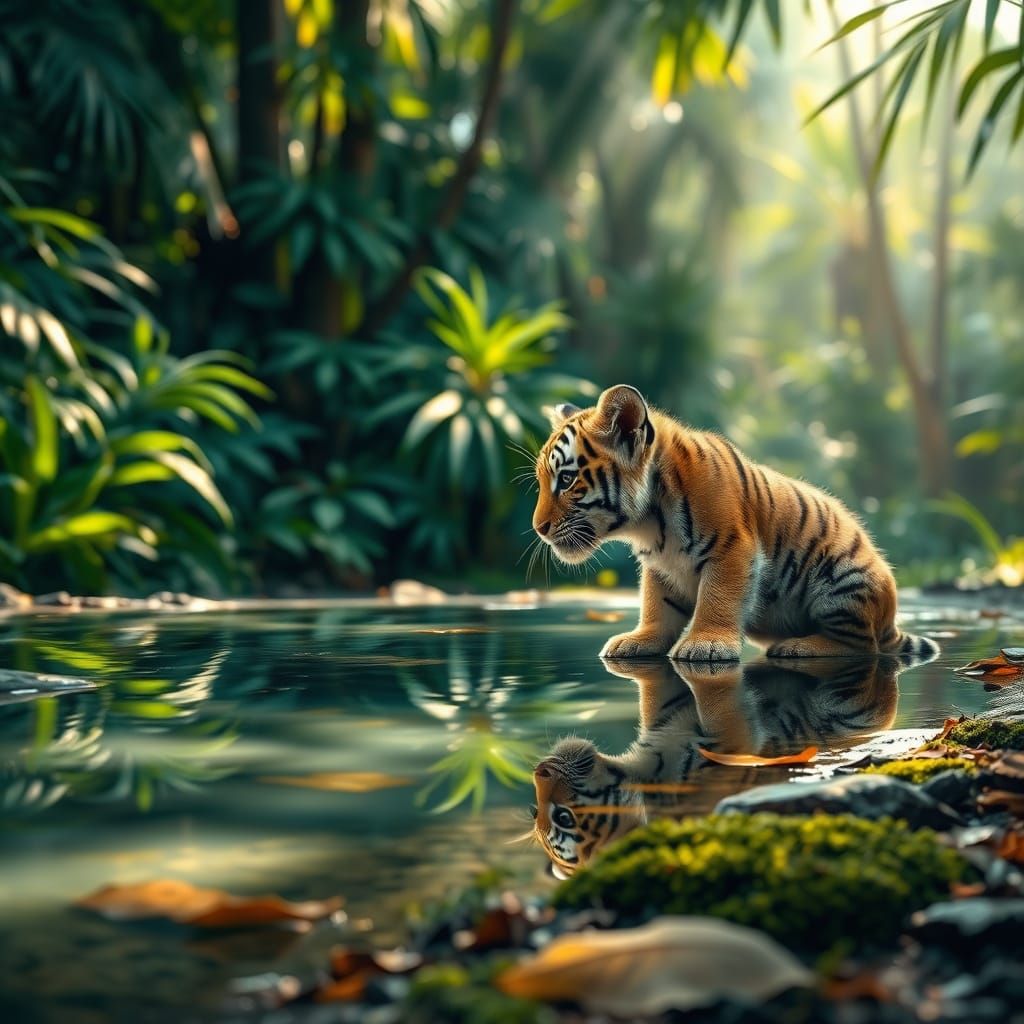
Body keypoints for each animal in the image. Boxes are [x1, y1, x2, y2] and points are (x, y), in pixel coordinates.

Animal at [532, 384, 938, 661]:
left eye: (566, 480)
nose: (539, 528)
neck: (650, 522)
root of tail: (890, 624)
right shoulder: (660, 566)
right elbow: (657, 606)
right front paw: (640, 639)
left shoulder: (731, 548)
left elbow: (718, 597)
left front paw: (706, 644)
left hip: (844, 581)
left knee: (862, 645)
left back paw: (799, 646)